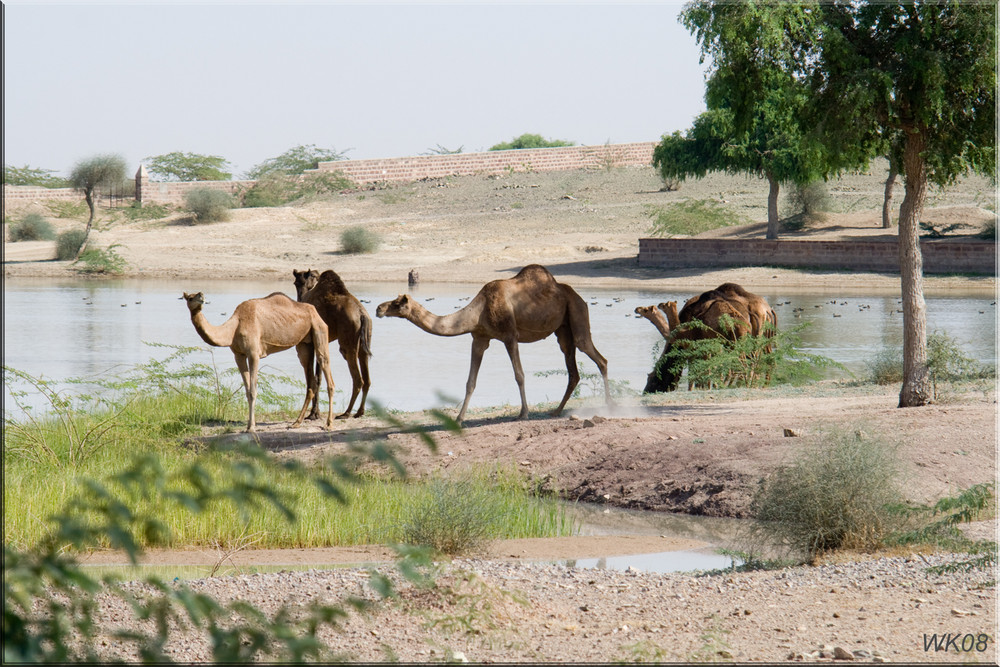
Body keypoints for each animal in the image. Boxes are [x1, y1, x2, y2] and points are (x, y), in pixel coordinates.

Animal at [182, 292, 334, 434]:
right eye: (189, 298)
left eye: (195, 296)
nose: (201, 296)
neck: (233, 328)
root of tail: (314, 310)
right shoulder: (238, 355)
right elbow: (247, 390)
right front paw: (249, 426)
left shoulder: (254, 353)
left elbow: (253, 391)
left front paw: (251, 427)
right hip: (304, 344)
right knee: (310, 381)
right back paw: (296, 423)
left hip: (319, 329)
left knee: (326, 369)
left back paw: (328, 424)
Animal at [296, 268, 376, 420]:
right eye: (295, 282)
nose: (299, 289)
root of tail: (362, 314)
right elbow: (318, 377)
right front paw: (315, 413)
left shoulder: (312, 343)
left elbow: (314, 378)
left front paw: (313, 414)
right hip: (365, 340)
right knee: (367, 379)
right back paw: (359, 412)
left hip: (347, 342)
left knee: (358, 379)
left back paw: (346, 413)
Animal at [374, 262, 608, 422]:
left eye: (397, 303)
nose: (378, 308)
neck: (479, 311)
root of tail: (575, 294)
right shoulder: (479, 338)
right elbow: (470, 381)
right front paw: (459, 419)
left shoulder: (509, 335)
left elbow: (519, 375)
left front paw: (523, 413)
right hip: (563, 330)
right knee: (573, 368)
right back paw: (557, 411)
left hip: (577, 311)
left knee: (597, 356)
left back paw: (609, 404)